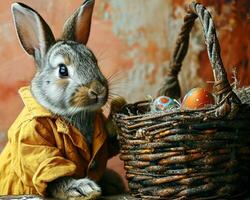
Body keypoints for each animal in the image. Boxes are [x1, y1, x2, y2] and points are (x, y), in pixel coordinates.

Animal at [0, 0, 126, 200]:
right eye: (62, 70)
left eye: (95, 61)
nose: (98, 90)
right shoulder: (34, 141)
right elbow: (52, 171)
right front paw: (82, 189)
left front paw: (118, 110)